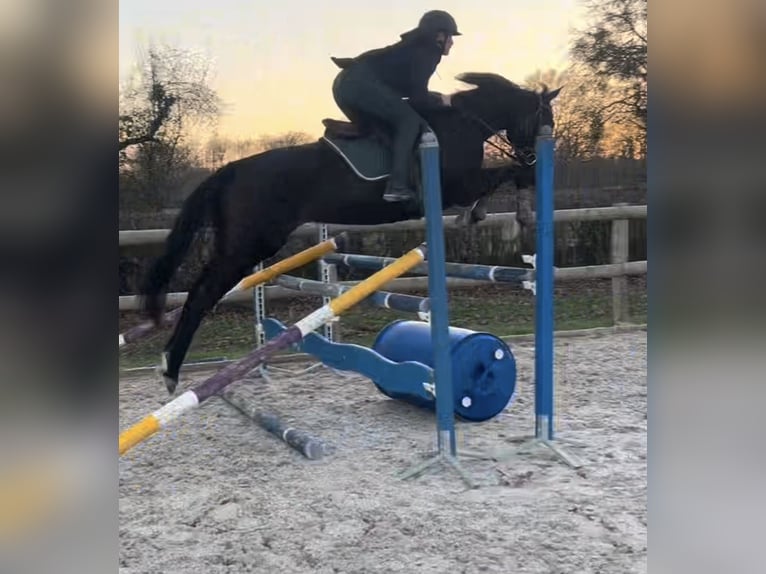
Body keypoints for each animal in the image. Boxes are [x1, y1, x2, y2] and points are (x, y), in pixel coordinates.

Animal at [139, 71, 561, 393]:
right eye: (546, 122)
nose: (535, 156)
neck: (464, 123)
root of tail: (231, 169)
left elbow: (505, 178)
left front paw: (493, 212)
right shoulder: (459, 185)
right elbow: (505, 176)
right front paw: (510, 214)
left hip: (240, 244)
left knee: (201, 291)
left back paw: (169, 366)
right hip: (249, 244)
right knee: (201, 295)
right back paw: (170, 370)